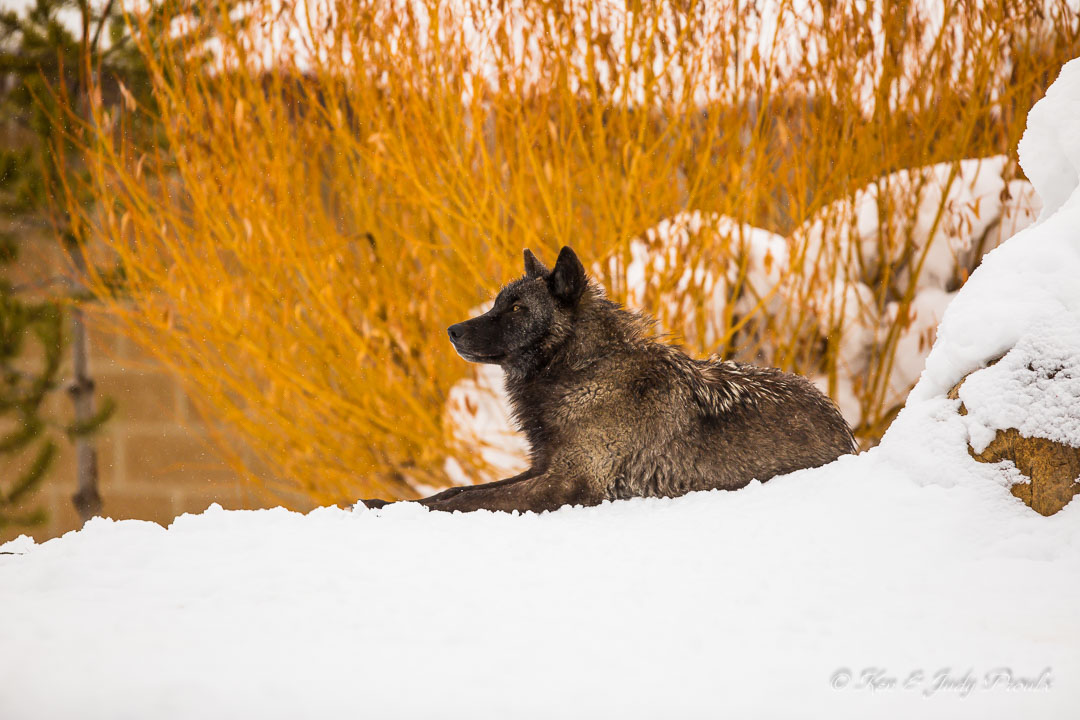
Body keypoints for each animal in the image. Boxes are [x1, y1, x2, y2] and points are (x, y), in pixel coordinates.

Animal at [362, 248, 851, 511]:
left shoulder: (569, 482)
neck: (583, 372)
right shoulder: (543, 466)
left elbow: (465, 501)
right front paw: (384, 503)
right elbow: (459, 487)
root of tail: (844, 427)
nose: (452, 331)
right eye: (498, 303)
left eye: (517, 309)